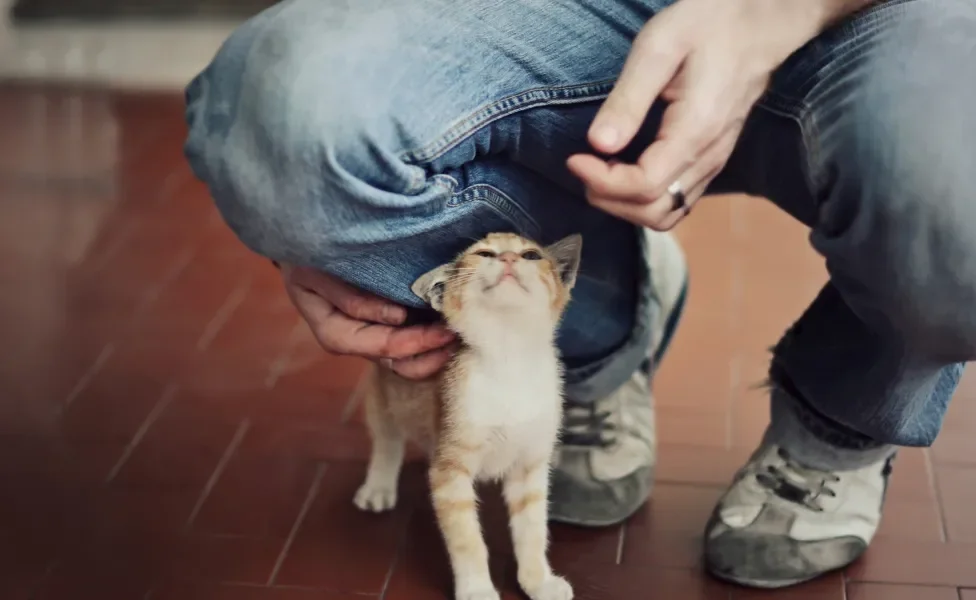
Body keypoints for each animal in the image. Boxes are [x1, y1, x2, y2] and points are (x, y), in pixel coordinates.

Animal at [354, 232, 580, 600]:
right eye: (484, 253)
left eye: (531, 255)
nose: (508, 259)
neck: (509, 359)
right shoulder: (450, 471)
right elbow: (467, 540)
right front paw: (477, 589)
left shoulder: (529, 465)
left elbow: (532, 530)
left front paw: (538, 581)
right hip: (384, 393)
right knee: (387, 438)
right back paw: (378, 485)